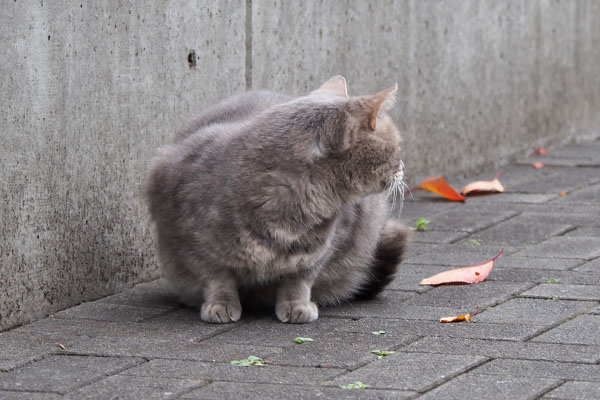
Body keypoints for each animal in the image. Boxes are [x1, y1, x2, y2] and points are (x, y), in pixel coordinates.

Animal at [145, 76, 408, 324]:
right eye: (397, 147)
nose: (403, 167)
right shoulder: (189, 241)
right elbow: (216, 278)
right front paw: (220, 305)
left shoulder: (328, 243)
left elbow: (300, 278)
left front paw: (296, 305)